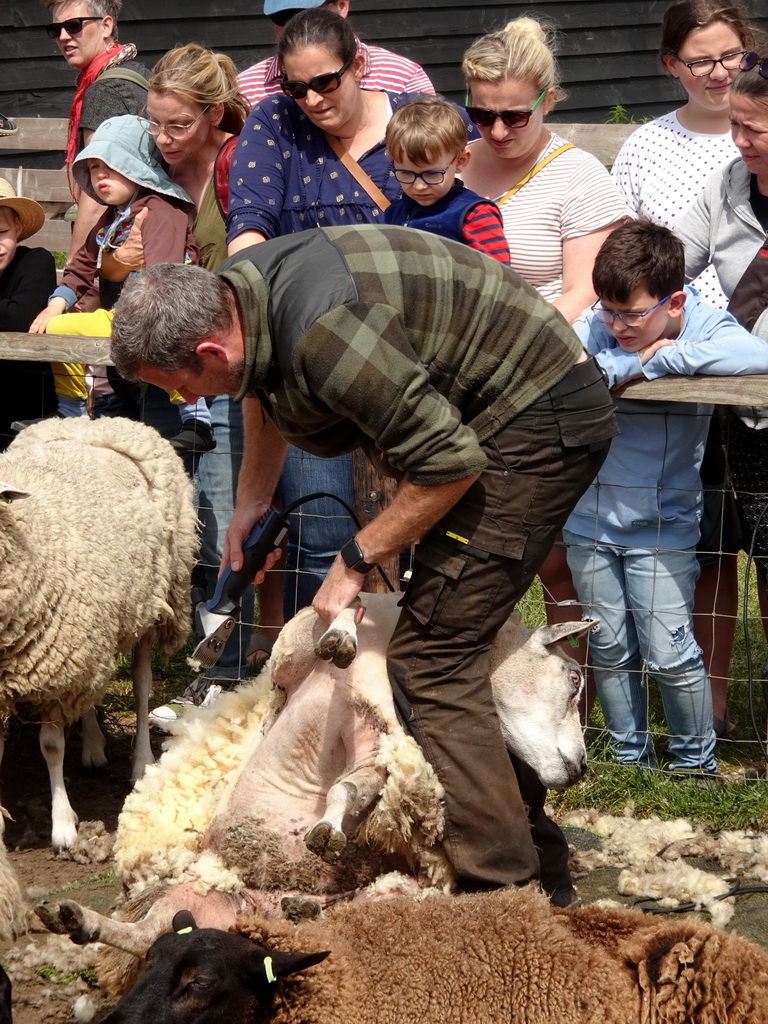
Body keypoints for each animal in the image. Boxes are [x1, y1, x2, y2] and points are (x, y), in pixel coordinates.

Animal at [0, 411, 196, 860]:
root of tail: (96, 422)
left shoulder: (55, 672)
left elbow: (51, 746)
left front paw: (62, 829)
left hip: (151, 606)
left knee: (141, 686)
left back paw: (140, 762)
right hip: (94, 632)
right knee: (91, 693)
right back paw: (92, 747)